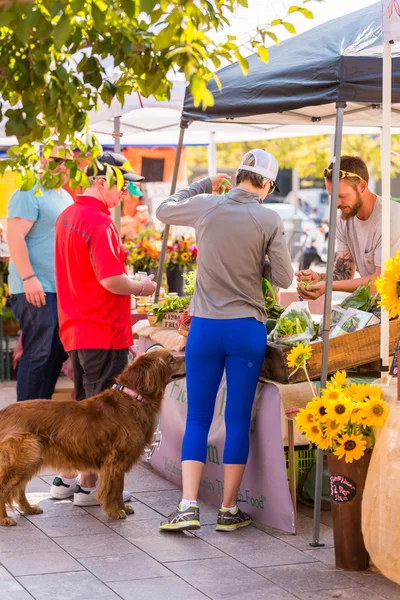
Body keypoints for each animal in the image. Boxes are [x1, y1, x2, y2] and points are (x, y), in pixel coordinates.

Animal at [0, 350, 184, 528]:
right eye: (171, 359)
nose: (186, 356)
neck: (133, 397)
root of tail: (4, 411)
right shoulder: (115, 460)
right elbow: (112, 489)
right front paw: (114, 512)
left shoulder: (118, 463)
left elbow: (119, 488)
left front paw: (123, 508)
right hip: (24, 457)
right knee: (5, 488)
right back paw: (5, 519)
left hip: (31, 459)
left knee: (19, 488)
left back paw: (28, 508)